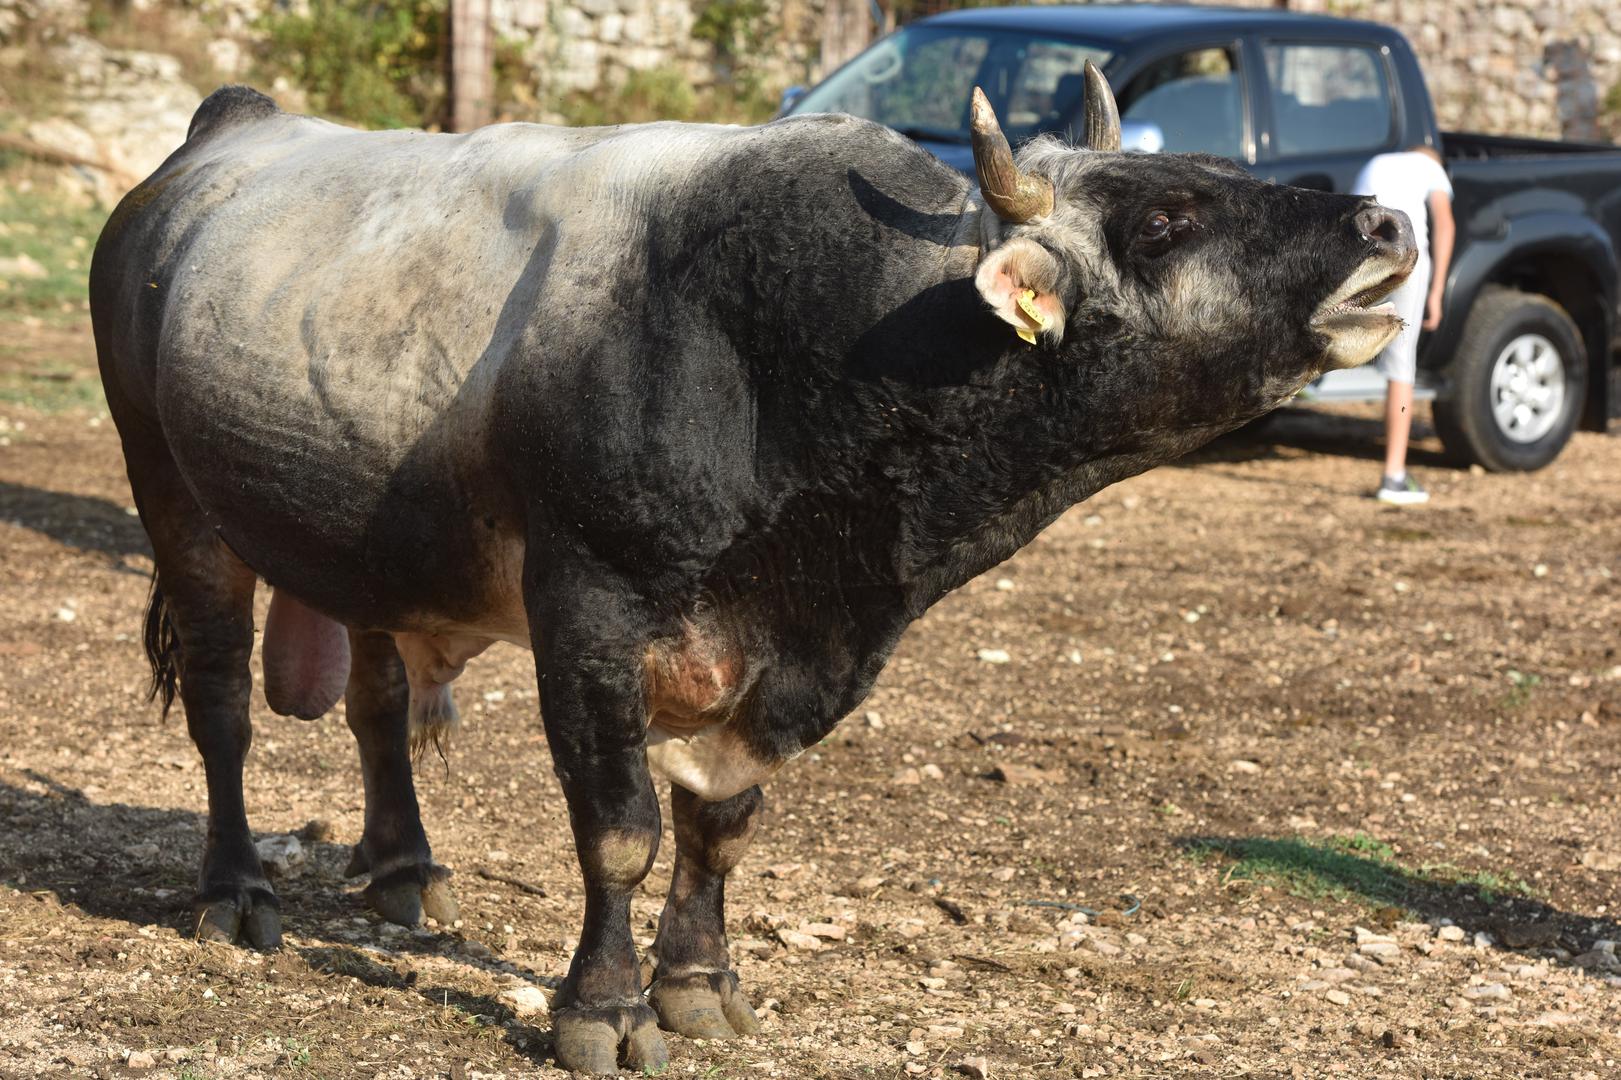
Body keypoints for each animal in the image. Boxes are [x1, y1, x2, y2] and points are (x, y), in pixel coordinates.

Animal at [88, 71, 1413, 1070]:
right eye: (1162, 222)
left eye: (1222, 174)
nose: (1384, 225)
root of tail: (232, 130)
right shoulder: (589, 611)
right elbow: (620, 832)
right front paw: (604, 1010)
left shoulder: (786, 655)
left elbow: (720, 824)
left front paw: (698, 983)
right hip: (173, 498)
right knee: (220, 706)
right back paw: (235, 891)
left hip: (367, 545)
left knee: (375, 701)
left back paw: (404, 868)